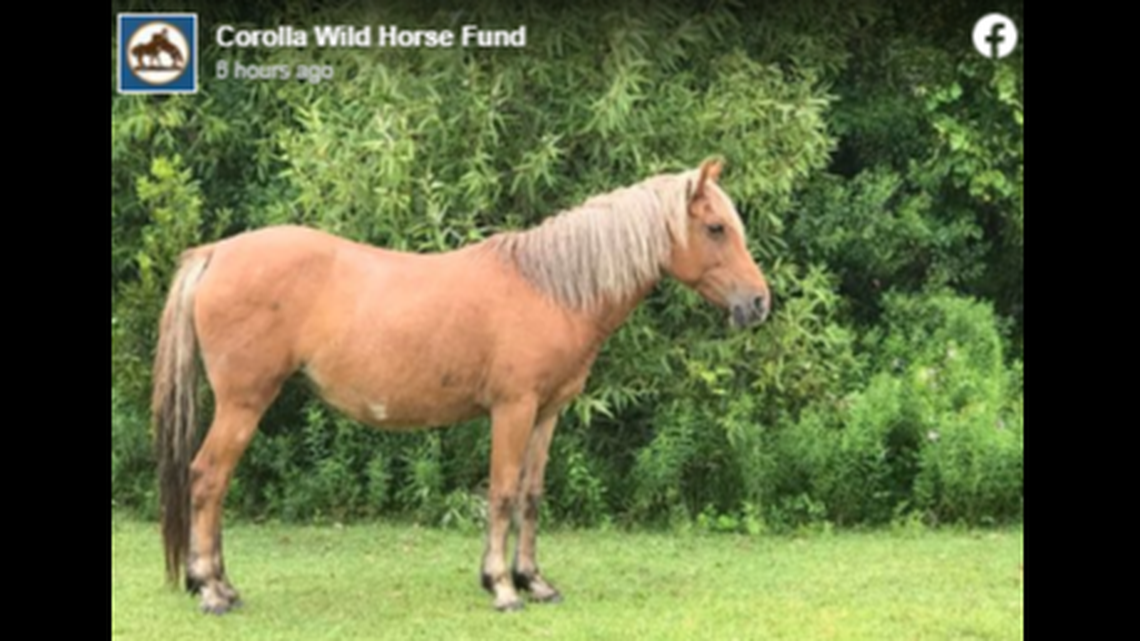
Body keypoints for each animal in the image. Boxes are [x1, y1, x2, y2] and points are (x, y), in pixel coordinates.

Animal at [152, 158, 771, 614]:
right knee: (208, 479)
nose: (759, 303)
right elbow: (500, 493)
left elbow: (531, 494)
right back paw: (210, 589)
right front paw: (501, 587)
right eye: (716, 228)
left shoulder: (548, 413)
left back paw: (223, 585)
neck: (553, 288)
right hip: (243, 403)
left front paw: (534, 581)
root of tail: (215, 253)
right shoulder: (513, 409)